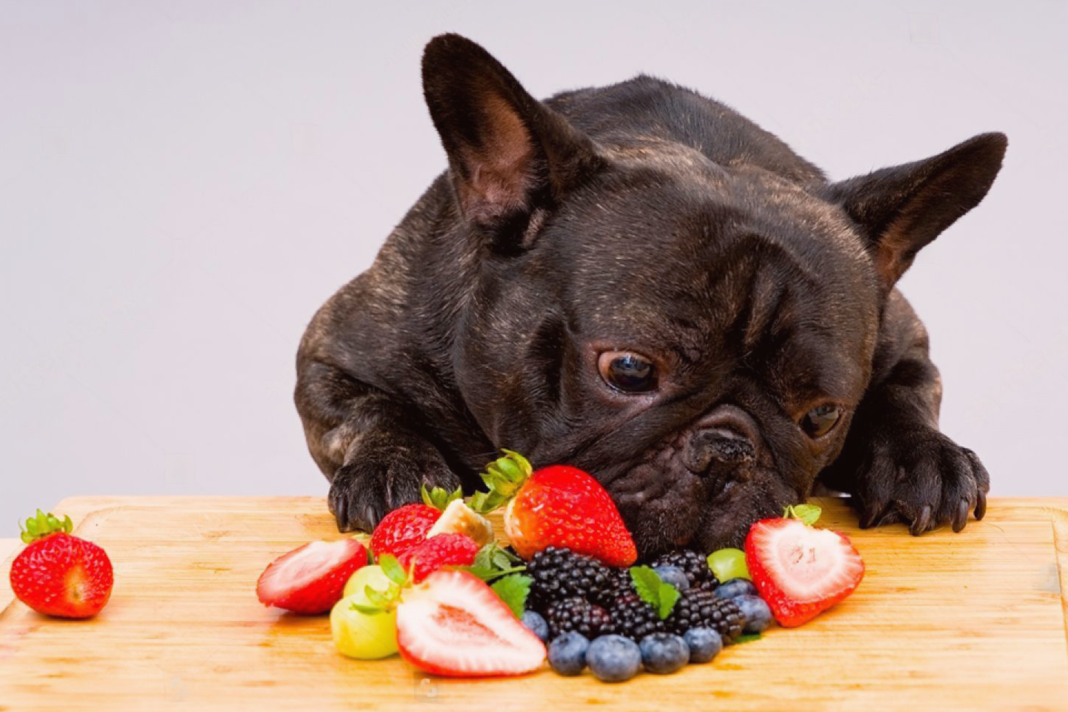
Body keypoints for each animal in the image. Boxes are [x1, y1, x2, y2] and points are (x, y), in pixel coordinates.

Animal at [292, 33, 999, 555]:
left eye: (822, 415)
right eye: (629, 370)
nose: (727, 453)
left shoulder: (905, 338)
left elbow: (909, 389)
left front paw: (923, 458)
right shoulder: (337, 349)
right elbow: (364, 411)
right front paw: (395, 466)